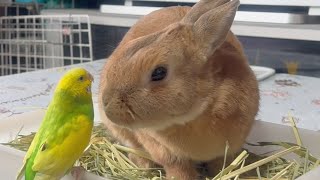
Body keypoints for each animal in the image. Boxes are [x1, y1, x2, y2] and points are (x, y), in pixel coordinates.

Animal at [98, 0, 260, 179]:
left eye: (159, 72)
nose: (106, 103)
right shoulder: (163, 149)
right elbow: (178, 167)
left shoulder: (228, 149)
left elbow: (221, 164)